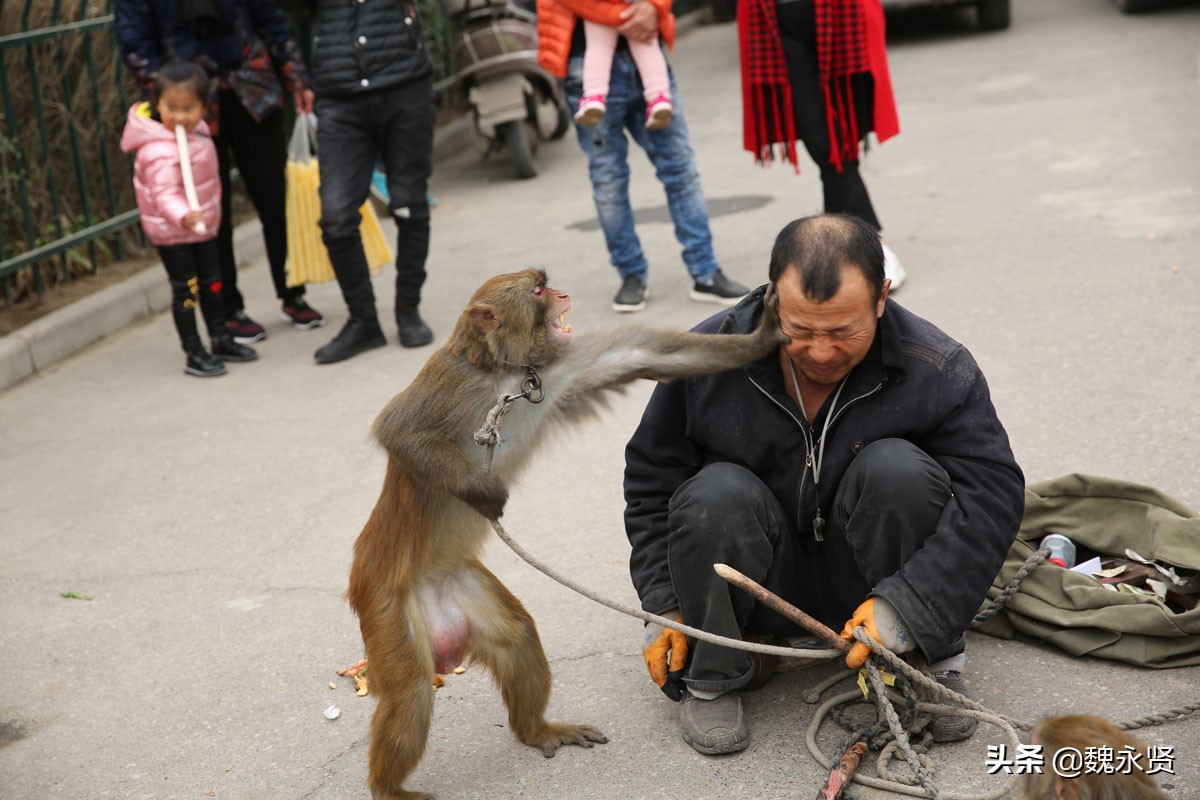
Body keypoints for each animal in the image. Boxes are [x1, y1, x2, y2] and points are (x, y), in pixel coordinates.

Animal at [345, 271, 787, 800]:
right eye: (537, 291)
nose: (561, 294)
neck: (505, 374)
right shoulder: (450, 379)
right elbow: (399, 430)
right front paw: (486, 494)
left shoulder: (559, 369)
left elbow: (646, 354)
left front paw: (763, 336)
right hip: (386, 605)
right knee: (410, 692)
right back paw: (390, 789)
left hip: (460, 588)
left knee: (516, 638)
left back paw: (537, 730)